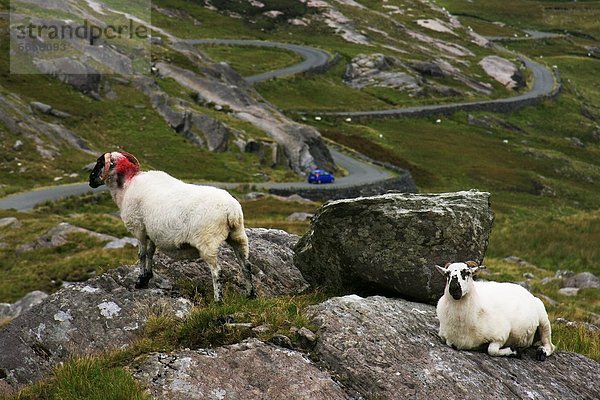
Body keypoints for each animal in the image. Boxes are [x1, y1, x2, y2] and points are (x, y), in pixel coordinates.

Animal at [89, 152, 255, 302]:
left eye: (100, 163)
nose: (90, 181)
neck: (126, 185)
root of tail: (231, 211)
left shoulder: (139, 229)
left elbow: (141, 255)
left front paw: (140, 281)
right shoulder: (151, 232)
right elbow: (150, 253)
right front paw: (148, 276)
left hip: (208, 242)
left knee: (217, 272)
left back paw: (218, 300)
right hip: (238, 236)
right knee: (246, 265)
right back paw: (250, 295)